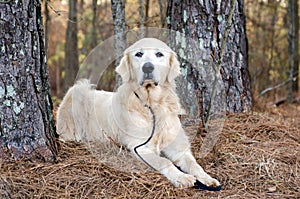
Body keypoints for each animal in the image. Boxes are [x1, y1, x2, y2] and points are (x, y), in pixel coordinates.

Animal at [56, 37, 220, 188]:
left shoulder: (177, 147)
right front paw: (182, 177)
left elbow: (194, 164)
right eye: (138, 54)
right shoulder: (140, 147)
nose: (147, 67)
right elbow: (164, 160)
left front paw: (208, 178)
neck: (153, 105)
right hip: (79, 91)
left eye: (159, 54)